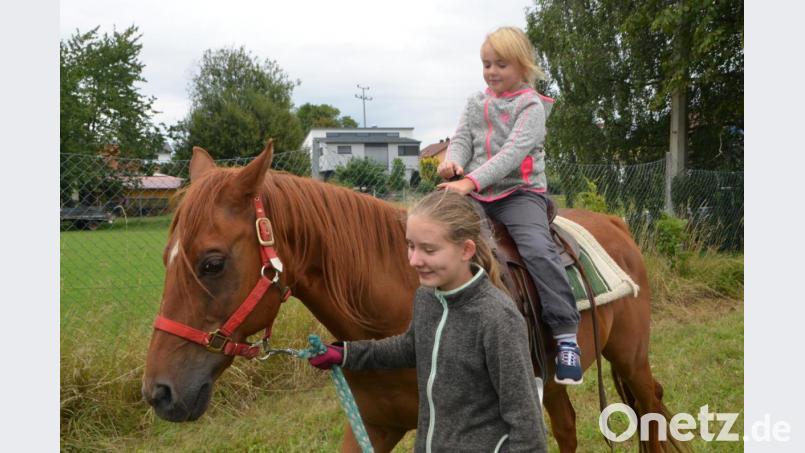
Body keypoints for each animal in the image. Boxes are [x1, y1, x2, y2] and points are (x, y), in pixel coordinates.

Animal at [142, 141, 687, 452]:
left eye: (212, 263)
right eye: (166, 258)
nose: (159, 393)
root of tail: (616, 223)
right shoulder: (371, 428)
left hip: (630, 357)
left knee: (652, 406)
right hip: (548, 378)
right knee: (569, 424)